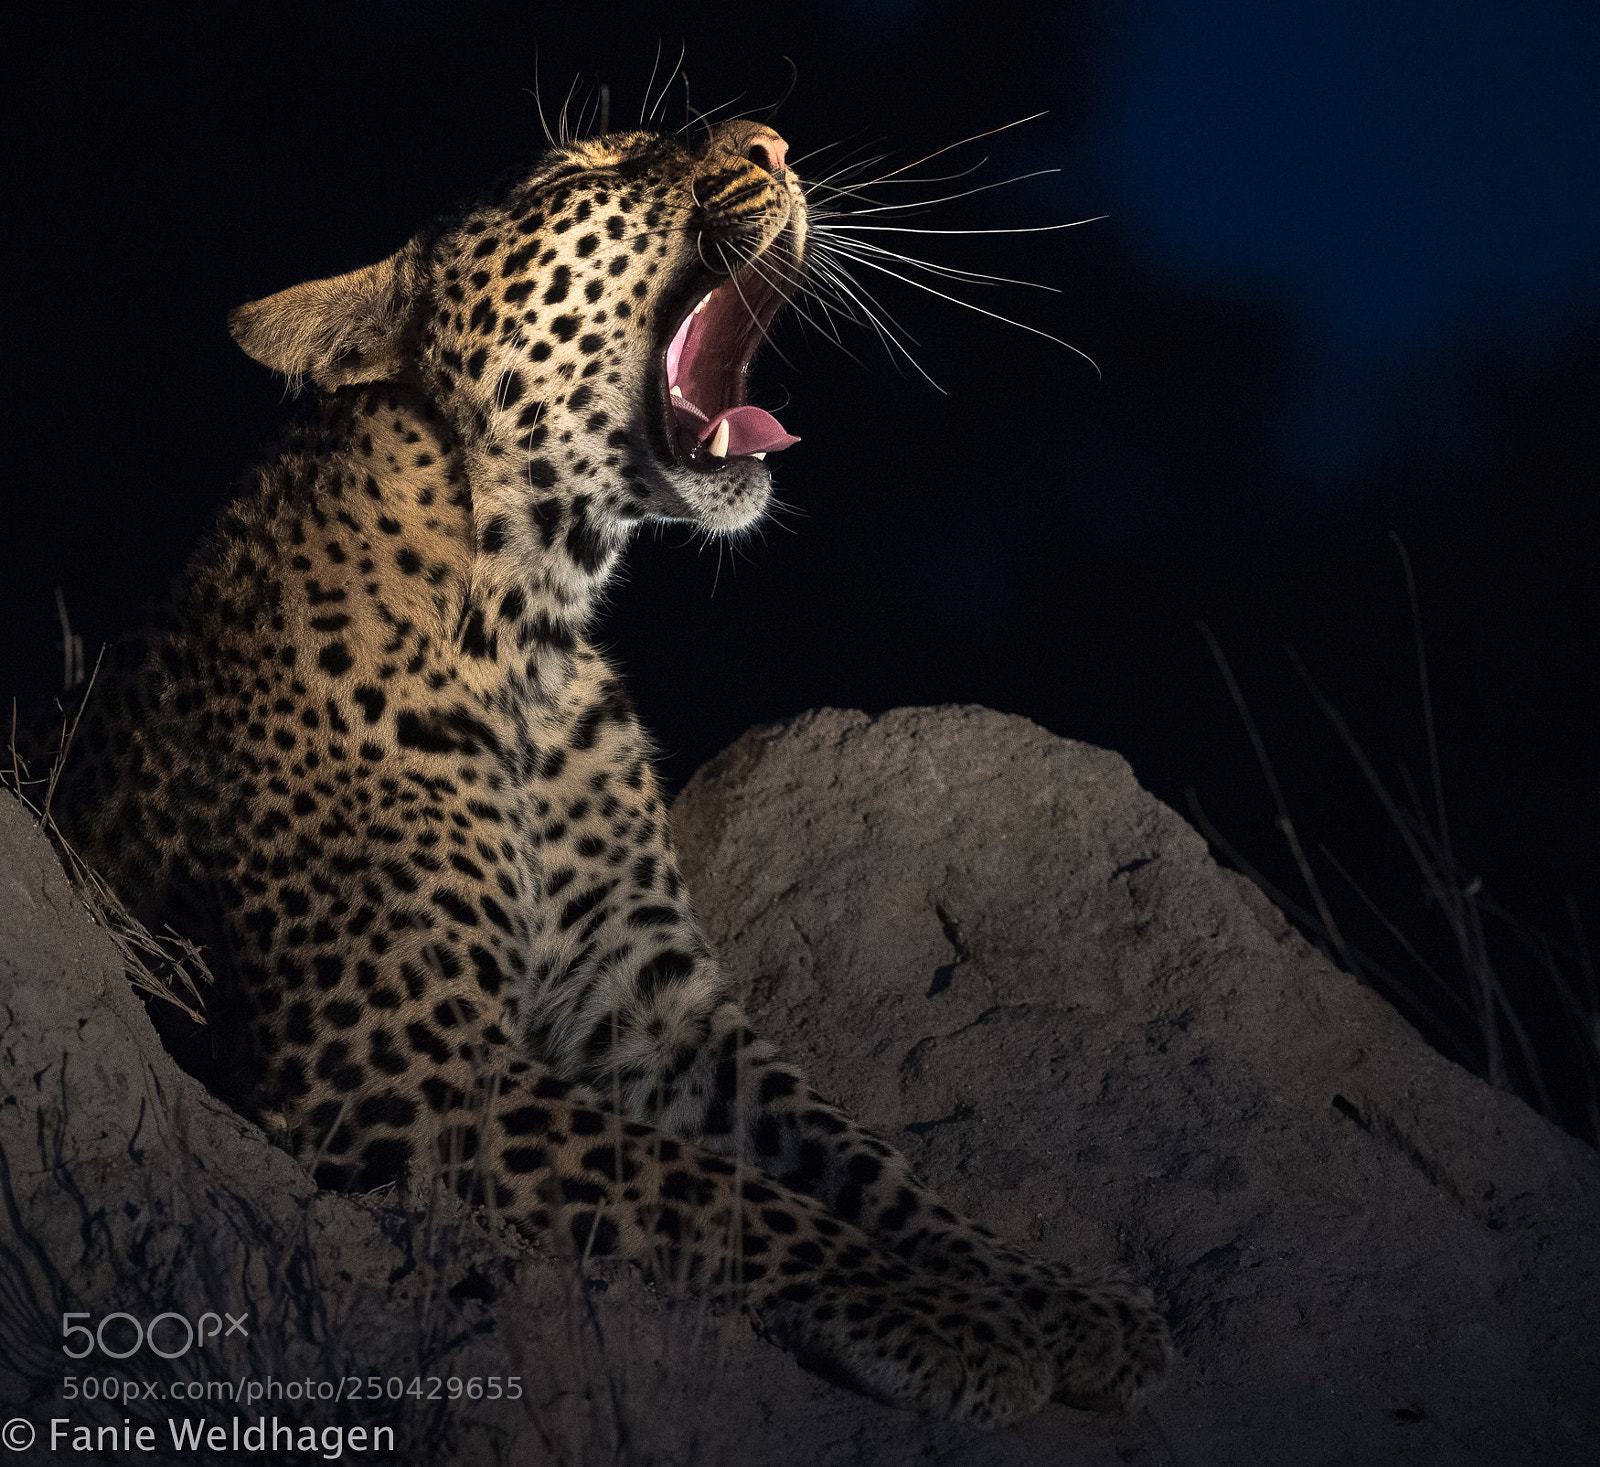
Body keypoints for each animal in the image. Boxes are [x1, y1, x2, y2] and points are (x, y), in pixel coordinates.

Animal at [42, 116, 1170, 1428]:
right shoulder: (400, 1071)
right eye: (586, 171)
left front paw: (1053, 1296)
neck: (527, 621)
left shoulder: (651, 1002)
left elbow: (861, 1157)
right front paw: (955, 1325)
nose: (772, 141)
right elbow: (710, 1190)